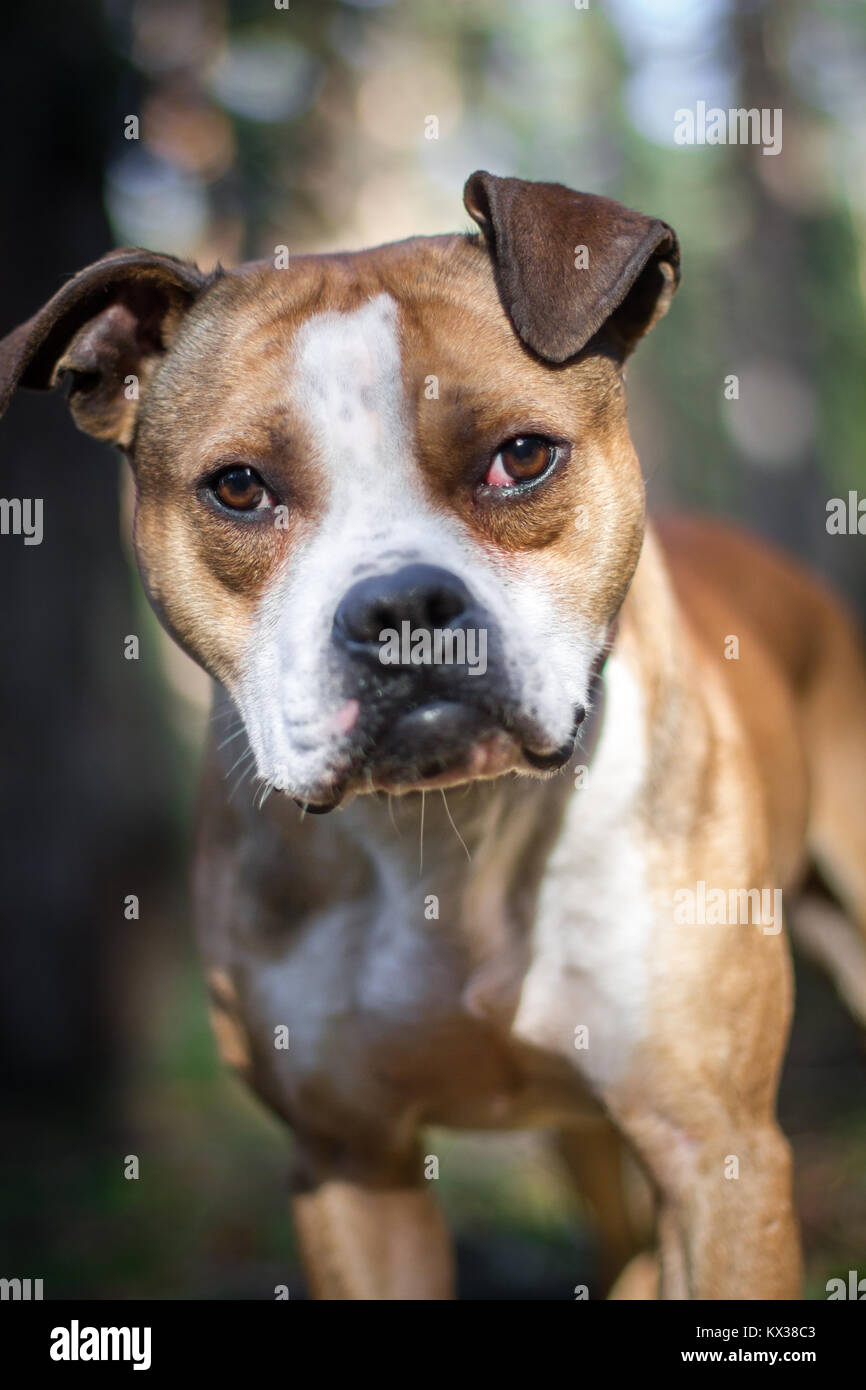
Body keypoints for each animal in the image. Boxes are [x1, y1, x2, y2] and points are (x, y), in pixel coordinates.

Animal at [1, 176, 866, 1301]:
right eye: (238, 486)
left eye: (521, 457)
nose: (400, 604)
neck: (447, 831)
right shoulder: (353, 1166)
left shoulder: (716, 1151)